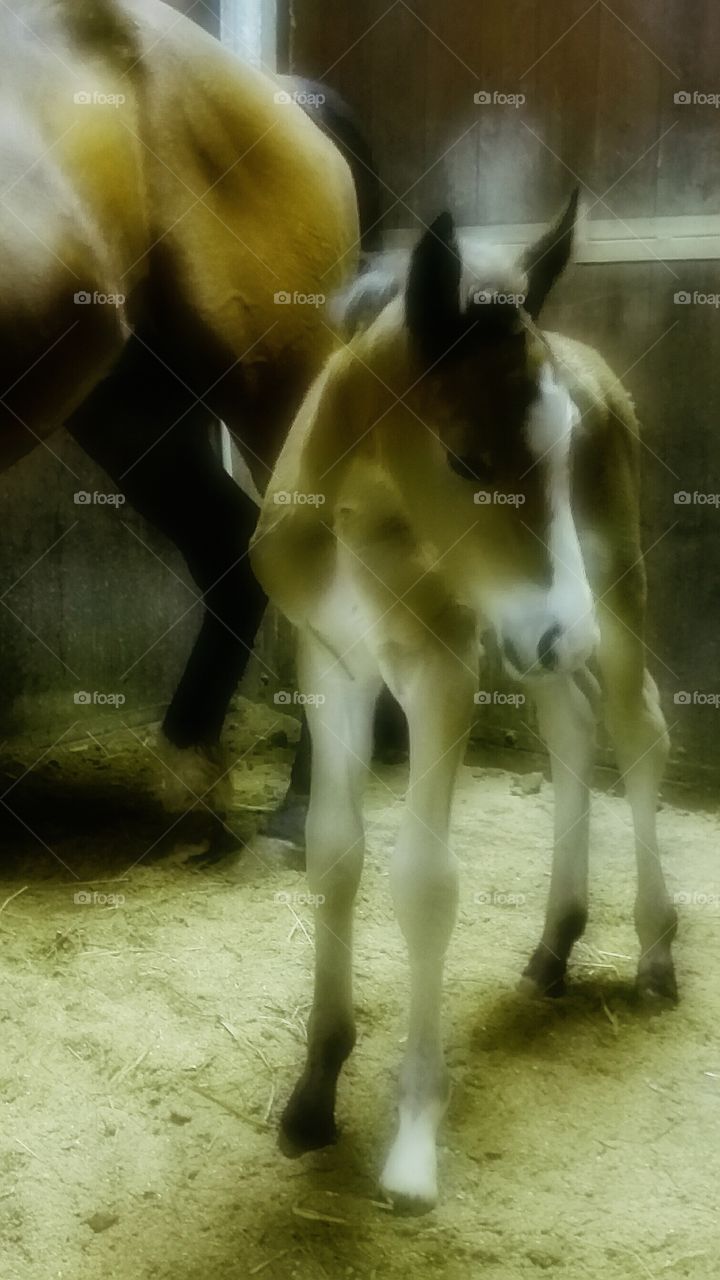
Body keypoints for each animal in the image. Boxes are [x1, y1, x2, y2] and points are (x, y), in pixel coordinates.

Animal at [0, 0, 371, 847]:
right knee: (226, 544)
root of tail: (278, 90)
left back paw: (304, 815)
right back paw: (191, 768)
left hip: (276, 386)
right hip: (132, 410)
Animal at [250, 194, 678, 1210]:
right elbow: (335, 858)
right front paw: (314, 1094)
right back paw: (556, 946)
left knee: (637, 723)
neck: (358, 514)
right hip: (525, 637)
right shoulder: (331, 663)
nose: (567, 634)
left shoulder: (438, 667)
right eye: (465, 457)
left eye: (560, 450)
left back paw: (653, 953)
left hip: (604, 585)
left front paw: (412, 1141)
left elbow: (424, 883)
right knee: (571, 722)